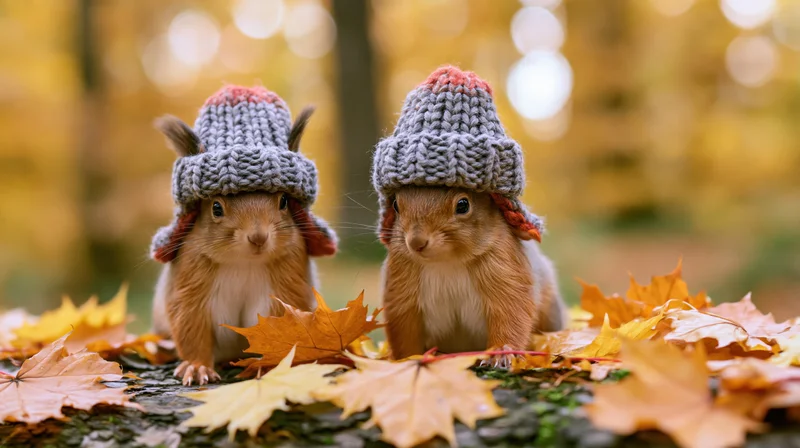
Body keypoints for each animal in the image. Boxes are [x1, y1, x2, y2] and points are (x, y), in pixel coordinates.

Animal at [149, 86, 337, 385]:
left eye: (284, 201)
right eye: (216, 207)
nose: (258, 237)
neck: (243, 263)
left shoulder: (288, 280)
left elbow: (283, 326)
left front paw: (274, 365)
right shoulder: (190, 280)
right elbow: (190, 324)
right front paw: (197, 367)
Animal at [370, 66, 567, 365]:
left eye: (463, 205)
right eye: (396, 205)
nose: (416, 242)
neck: (447, 262)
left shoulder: (506, 270)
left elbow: (511, 313)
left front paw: (501, 353)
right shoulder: (402, 285)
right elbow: (404, 329)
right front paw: (404, 361)